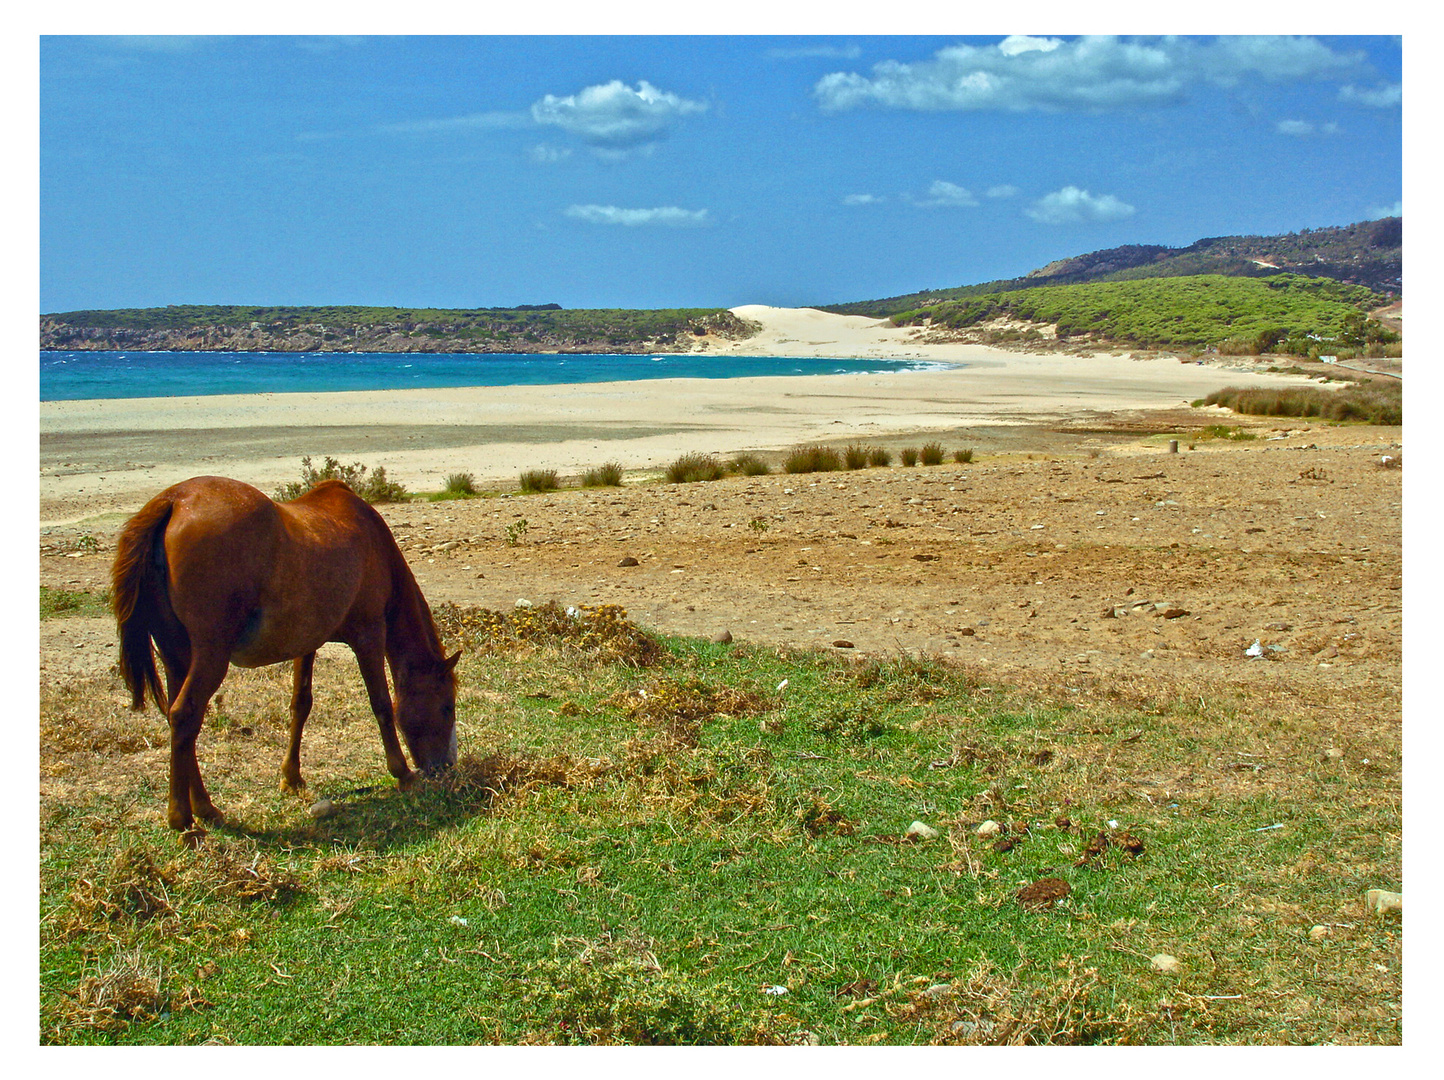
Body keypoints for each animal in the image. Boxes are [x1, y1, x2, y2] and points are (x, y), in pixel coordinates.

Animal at [110, 476, 459, 837]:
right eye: (447, 706)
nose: (445, 766)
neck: (373, 542)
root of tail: (174, 500)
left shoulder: (307, 643)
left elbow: (300, 705)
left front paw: (291, 778)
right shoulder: (370, 635)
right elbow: (382, 706)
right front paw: (402, 773)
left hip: (177, 656)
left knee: (179, 721)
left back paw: (205, 808)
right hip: (210, 656)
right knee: (184, 715)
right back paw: (183, 819)